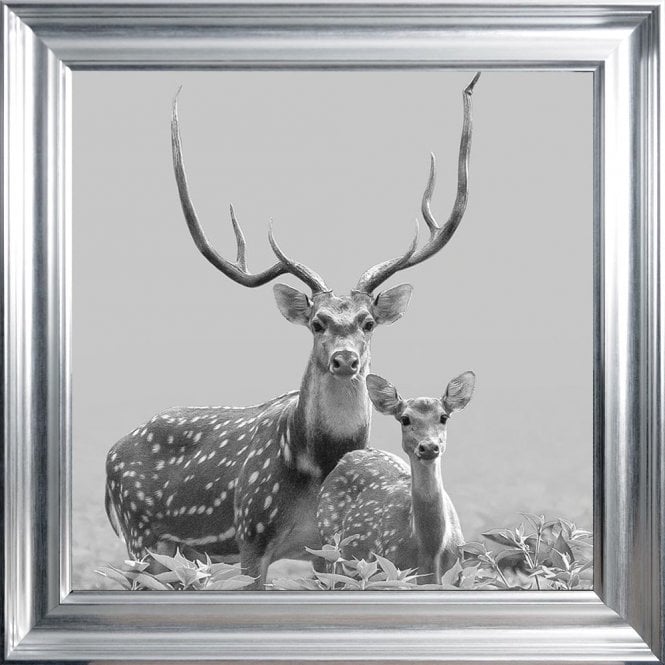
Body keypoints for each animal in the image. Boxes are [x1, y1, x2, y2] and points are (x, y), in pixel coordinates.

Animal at [317, 371, 475, 584]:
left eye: (443, 417)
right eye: (405, 419)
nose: (428, 447)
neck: (431, 549)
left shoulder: (456, 573)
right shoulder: (394, 568)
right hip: (328, 548)